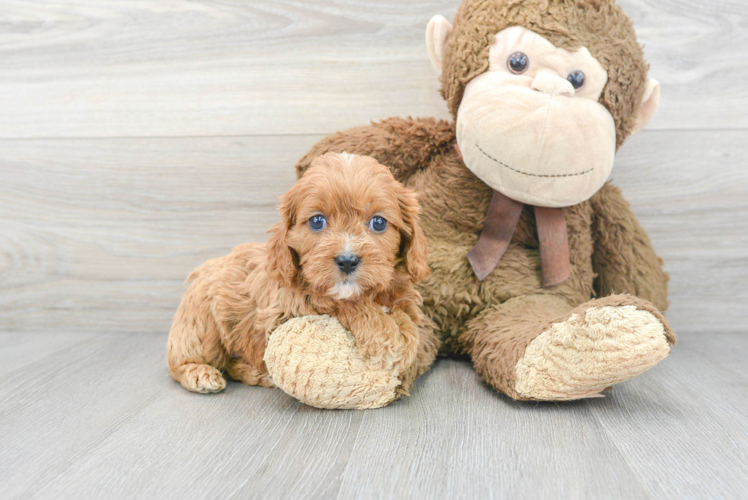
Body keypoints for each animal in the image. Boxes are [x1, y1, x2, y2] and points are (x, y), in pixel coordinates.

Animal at [167, 152, 430, 394]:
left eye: (378, 222)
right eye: (317, 221)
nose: (347, 261)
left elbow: (409, 323)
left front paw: (403, 341)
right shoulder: (285, 308)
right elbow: (332, 299)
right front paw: (383, 334)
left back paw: (252, 372)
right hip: (202, 325)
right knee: (180, 361)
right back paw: (200, 373)